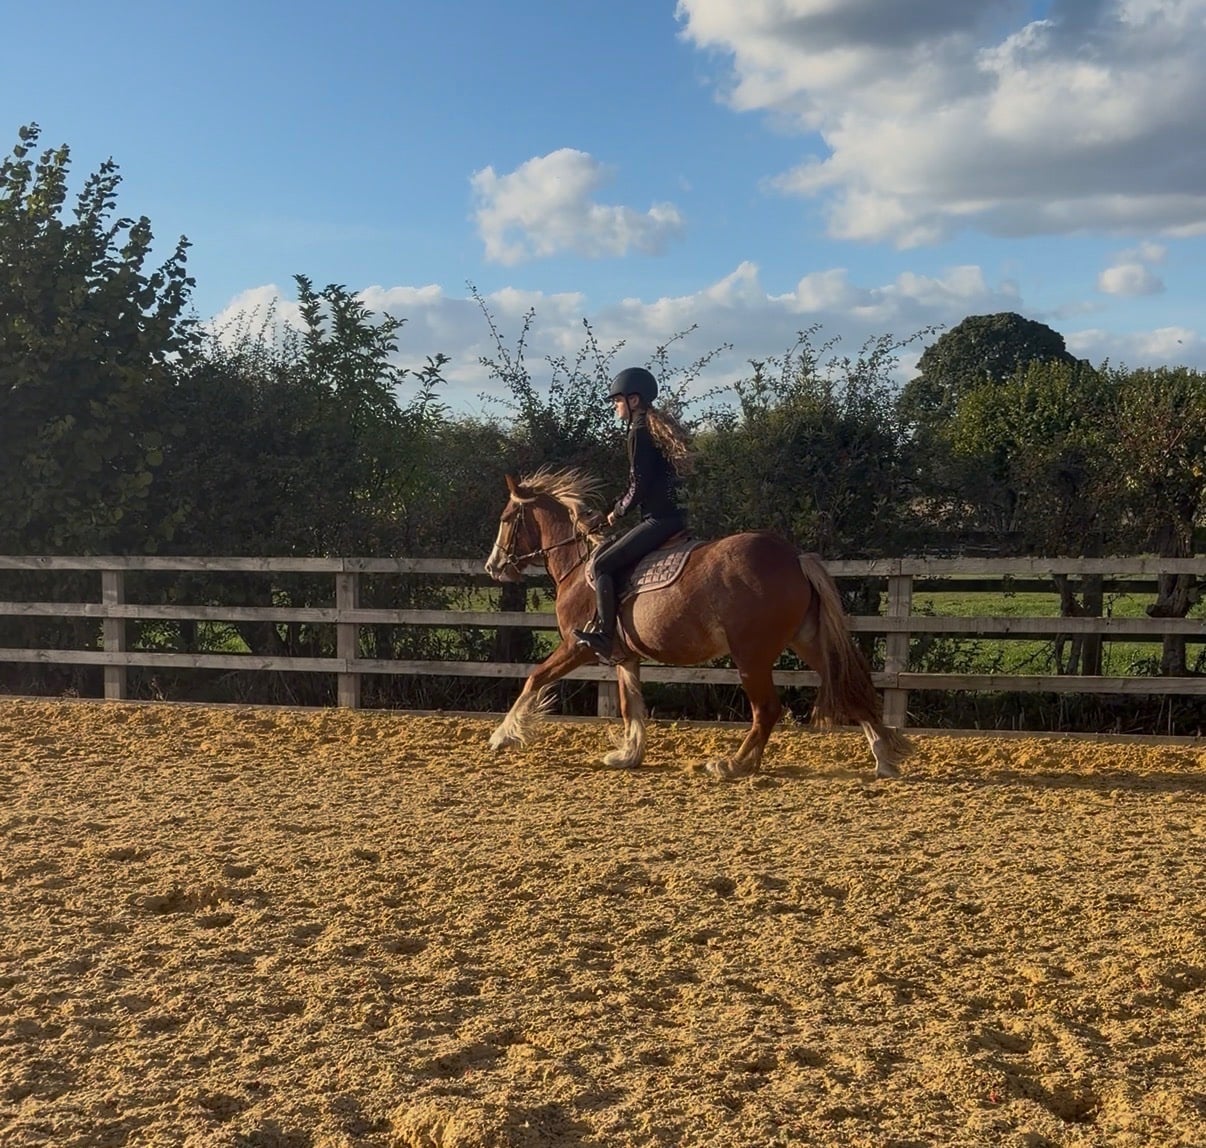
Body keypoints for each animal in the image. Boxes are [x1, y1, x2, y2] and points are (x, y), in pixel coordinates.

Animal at [482, 468, 912, 779]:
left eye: (506, 518)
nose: (493, 566)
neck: (580, 567)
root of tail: (794, 557)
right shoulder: (625, 657)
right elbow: (630, 705)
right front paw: (628, 755)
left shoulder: (578, 646)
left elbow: (535, 678)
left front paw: (503, 735)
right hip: (806, 642)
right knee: (847, 689)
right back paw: (884, 759)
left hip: (751, 657)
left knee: (767, 710)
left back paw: (733, 764)